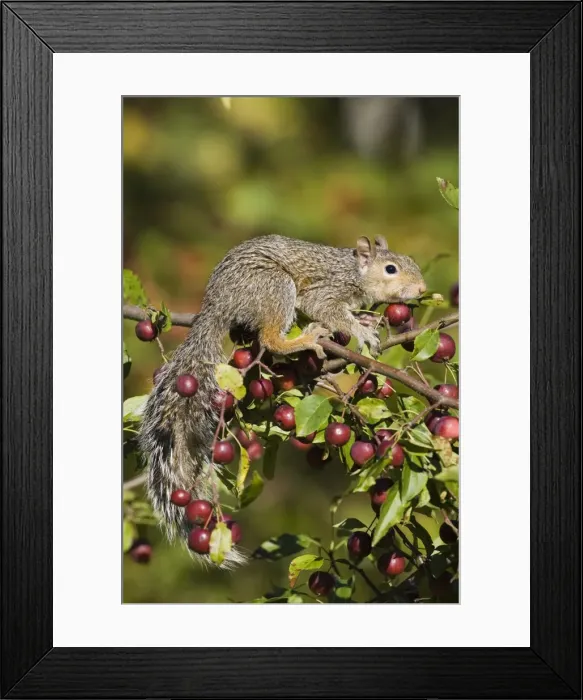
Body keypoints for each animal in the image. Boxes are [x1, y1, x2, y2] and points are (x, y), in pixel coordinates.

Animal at [139, 234, 426, 567]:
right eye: (391, 268)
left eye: (411, 261)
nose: (422, 289)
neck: (355, 270)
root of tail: (216, 305)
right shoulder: (326, 290)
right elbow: (325, 308)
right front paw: (360, 329)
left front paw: (365, 318)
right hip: (274, 287)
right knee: (271, 339)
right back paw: (306, 339)